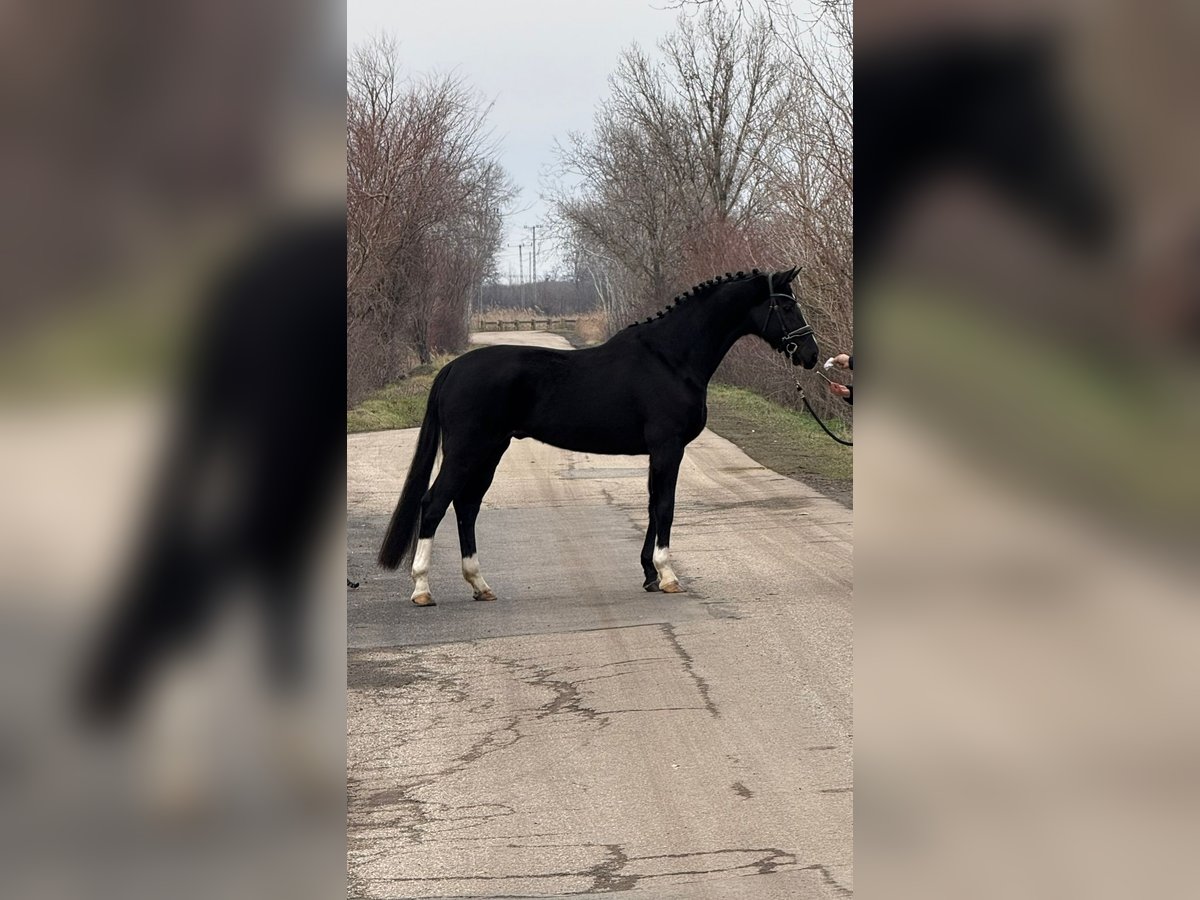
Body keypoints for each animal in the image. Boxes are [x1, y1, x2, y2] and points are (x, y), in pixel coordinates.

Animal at [379, 267, 820, 607]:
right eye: (785, 305)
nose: (811, 354)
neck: (671, 358)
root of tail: (453, 368)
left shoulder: (657, 453)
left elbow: (651, 507)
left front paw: (649, 574)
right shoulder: (668, 448)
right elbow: (665, 508)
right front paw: (668, 576)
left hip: (491, 450)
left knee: (467, 506)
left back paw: (480, 585)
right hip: (467, 450)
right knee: (434, 504)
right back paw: (422, 589)